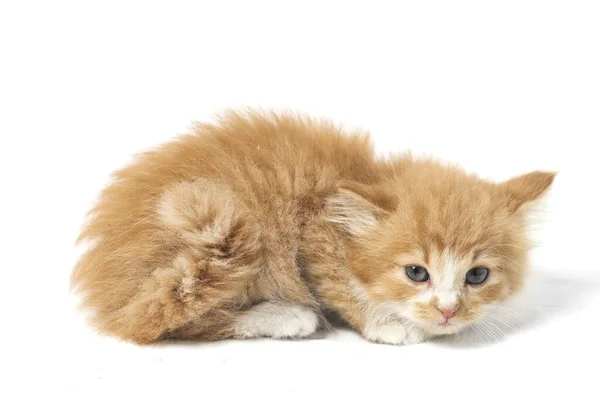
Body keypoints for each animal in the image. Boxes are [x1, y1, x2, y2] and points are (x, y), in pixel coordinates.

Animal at [72, 111, 556, 346]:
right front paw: (387, 324)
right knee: (169, 323)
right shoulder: (311, 237)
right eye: (417, 273)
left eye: (478, 275)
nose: (449, 311)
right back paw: (286, 316)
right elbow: (341, 286)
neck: (360, 174)